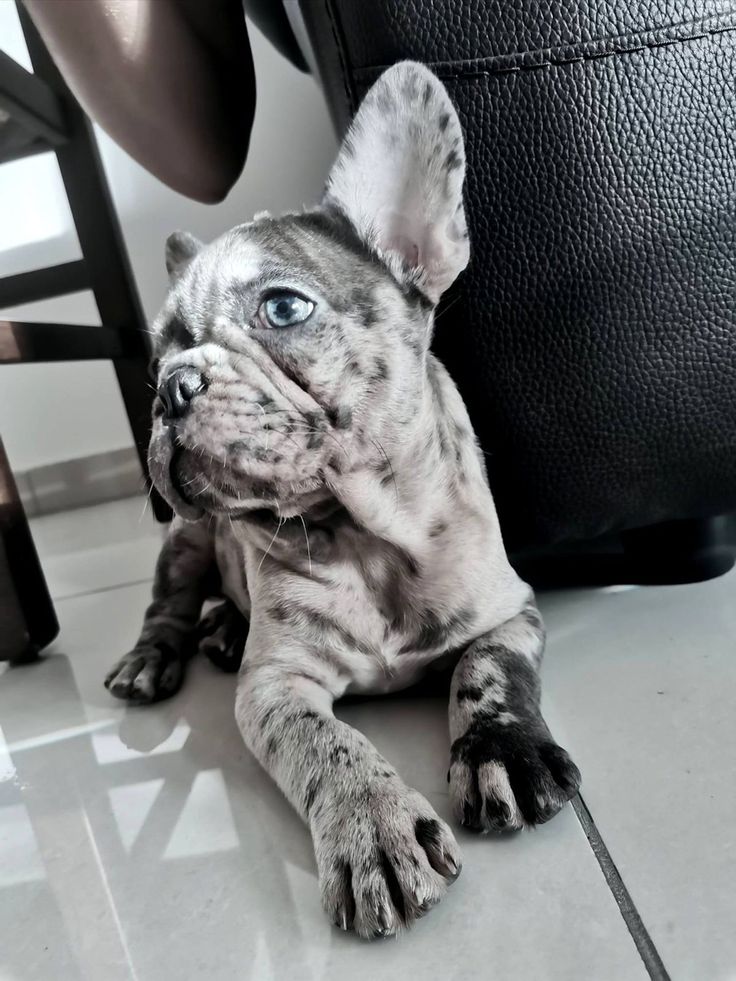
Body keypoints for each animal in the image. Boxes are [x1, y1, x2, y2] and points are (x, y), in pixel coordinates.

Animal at [106, 59, 584, 936]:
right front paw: (373, 826)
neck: (368, 534)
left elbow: (490, 670)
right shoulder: (275, 687)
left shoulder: (512, 612)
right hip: (183, 544)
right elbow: (324, 745)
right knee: (167, 607)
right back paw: (158, 655)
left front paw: (504, 750)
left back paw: (225, 630)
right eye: (158, 354)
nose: (168, 386)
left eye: (283, 307)